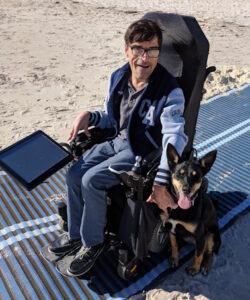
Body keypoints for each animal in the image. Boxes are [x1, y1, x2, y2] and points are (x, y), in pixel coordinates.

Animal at [164, 144, 221, 276]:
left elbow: (198, 254)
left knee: (208, 252)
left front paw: (195, 268)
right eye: (179, 174)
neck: (180, 208)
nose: (186, 190)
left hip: (211, 235)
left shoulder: (200, 235)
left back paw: (205, 266)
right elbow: (174, 245)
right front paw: (175, 258)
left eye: (196, 176)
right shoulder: (171, 227)